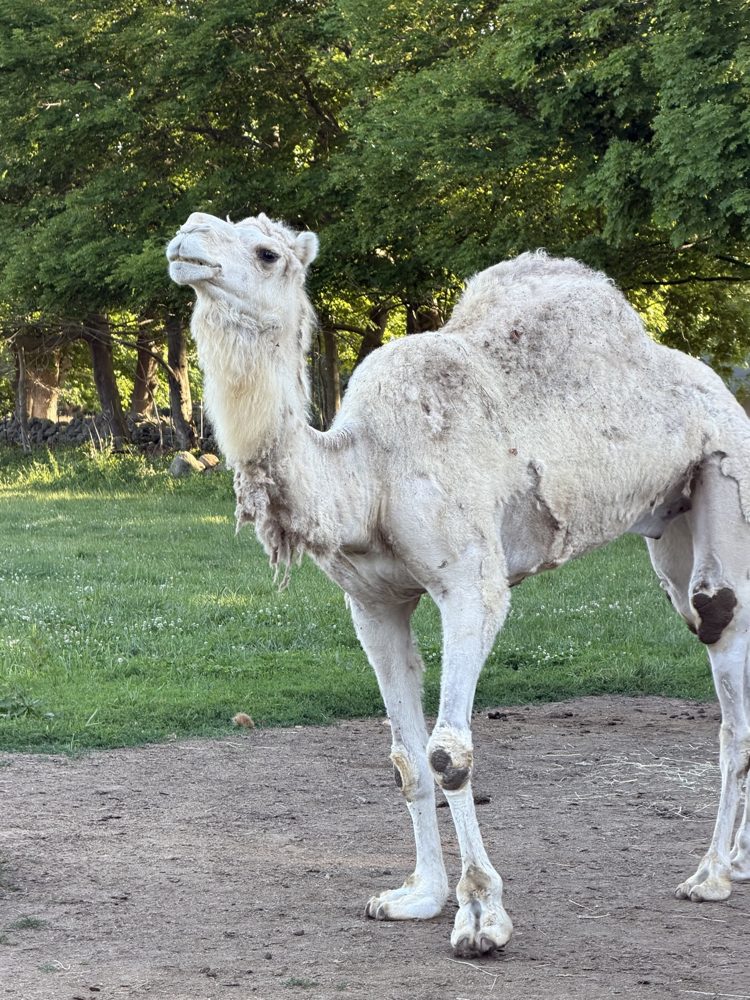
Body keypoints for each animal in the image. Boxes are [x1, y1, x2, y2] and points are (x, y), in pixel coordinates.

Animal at [167, 211, 750, 957]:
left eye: (266, 252)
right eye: (203, 224)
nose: (186, 240)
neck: (368, 471)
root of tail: (722, 391)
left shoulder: (471, 588)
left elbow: (448, 753)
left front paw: (480, 917)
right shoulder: (372, 603)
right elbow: (405, 757)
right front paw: (417, 895)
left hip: (726, 471)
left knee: (719, 624)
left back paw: (710, 875)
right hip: (668, 523)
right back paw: (737, 860)